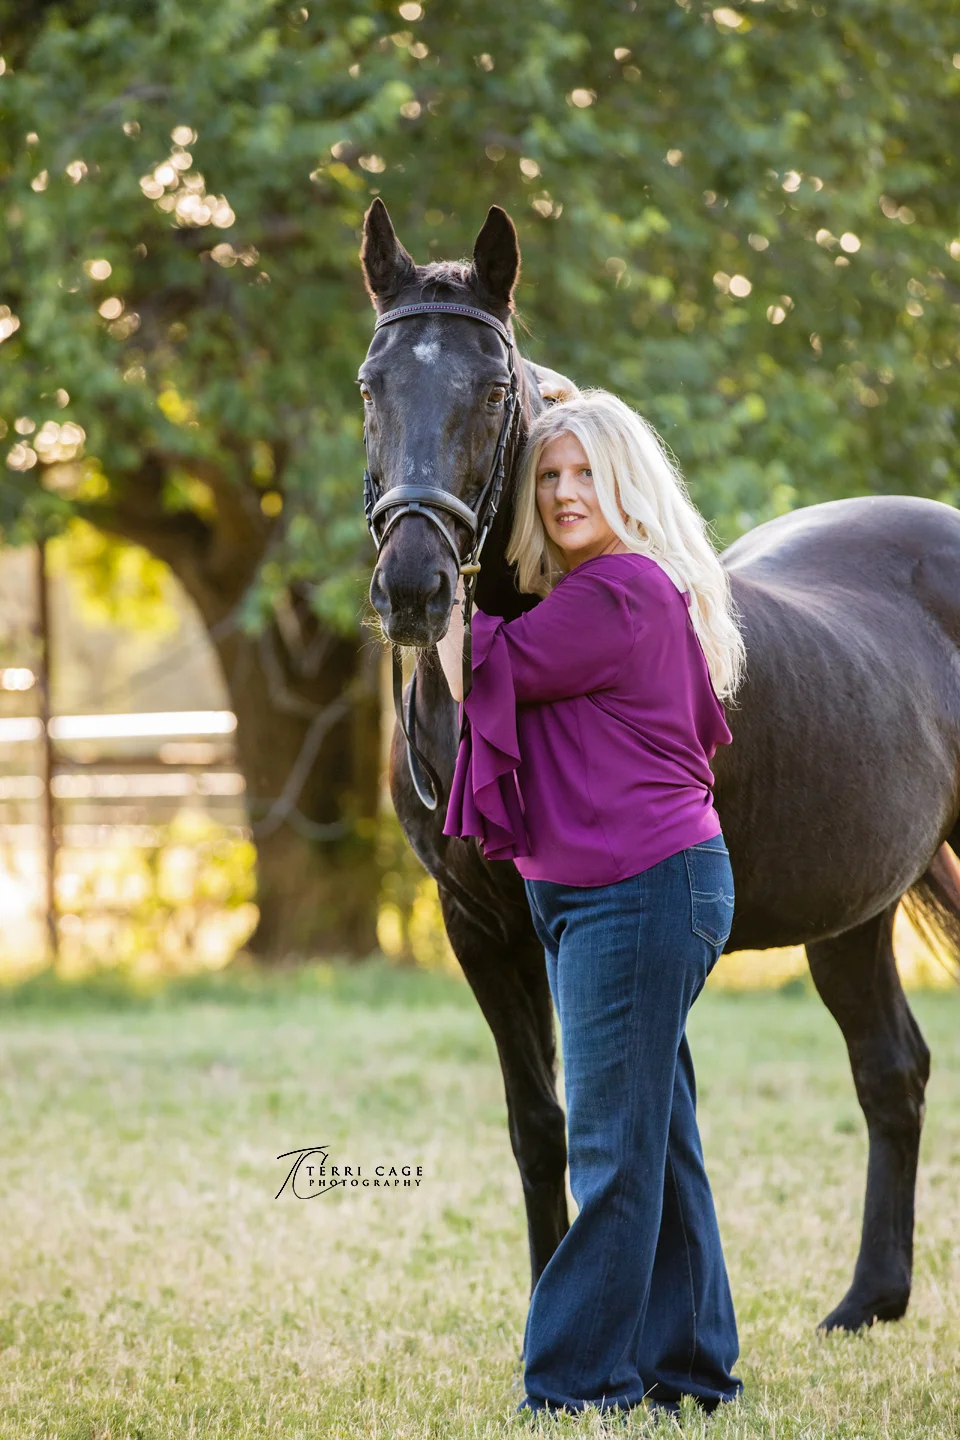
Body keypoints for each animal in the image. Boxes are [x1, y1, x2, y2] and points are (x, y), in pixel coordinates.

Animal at [358, 196, 960, 1334]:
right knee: (891, 1069)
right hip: (852, 909)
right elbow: (540, 1126)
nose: (413, 586)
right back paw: (870, 1299)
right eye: (372, 386)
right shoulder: (481, 929)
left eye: (493, 389)